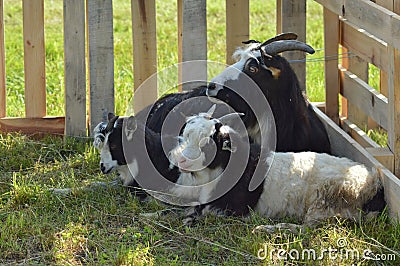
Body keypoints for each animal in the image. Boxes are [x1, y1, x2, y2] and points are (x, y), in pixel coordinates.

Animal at [170, 109, 386, 230]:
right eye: (184, 136)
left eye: (208, 143)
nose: (181, 160)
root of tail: (373, 184)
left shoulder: (234, 208)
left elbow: (201, 211)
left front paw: (188, 220)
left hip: (326, 201)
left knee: (308, 229)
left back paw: (267, 228)